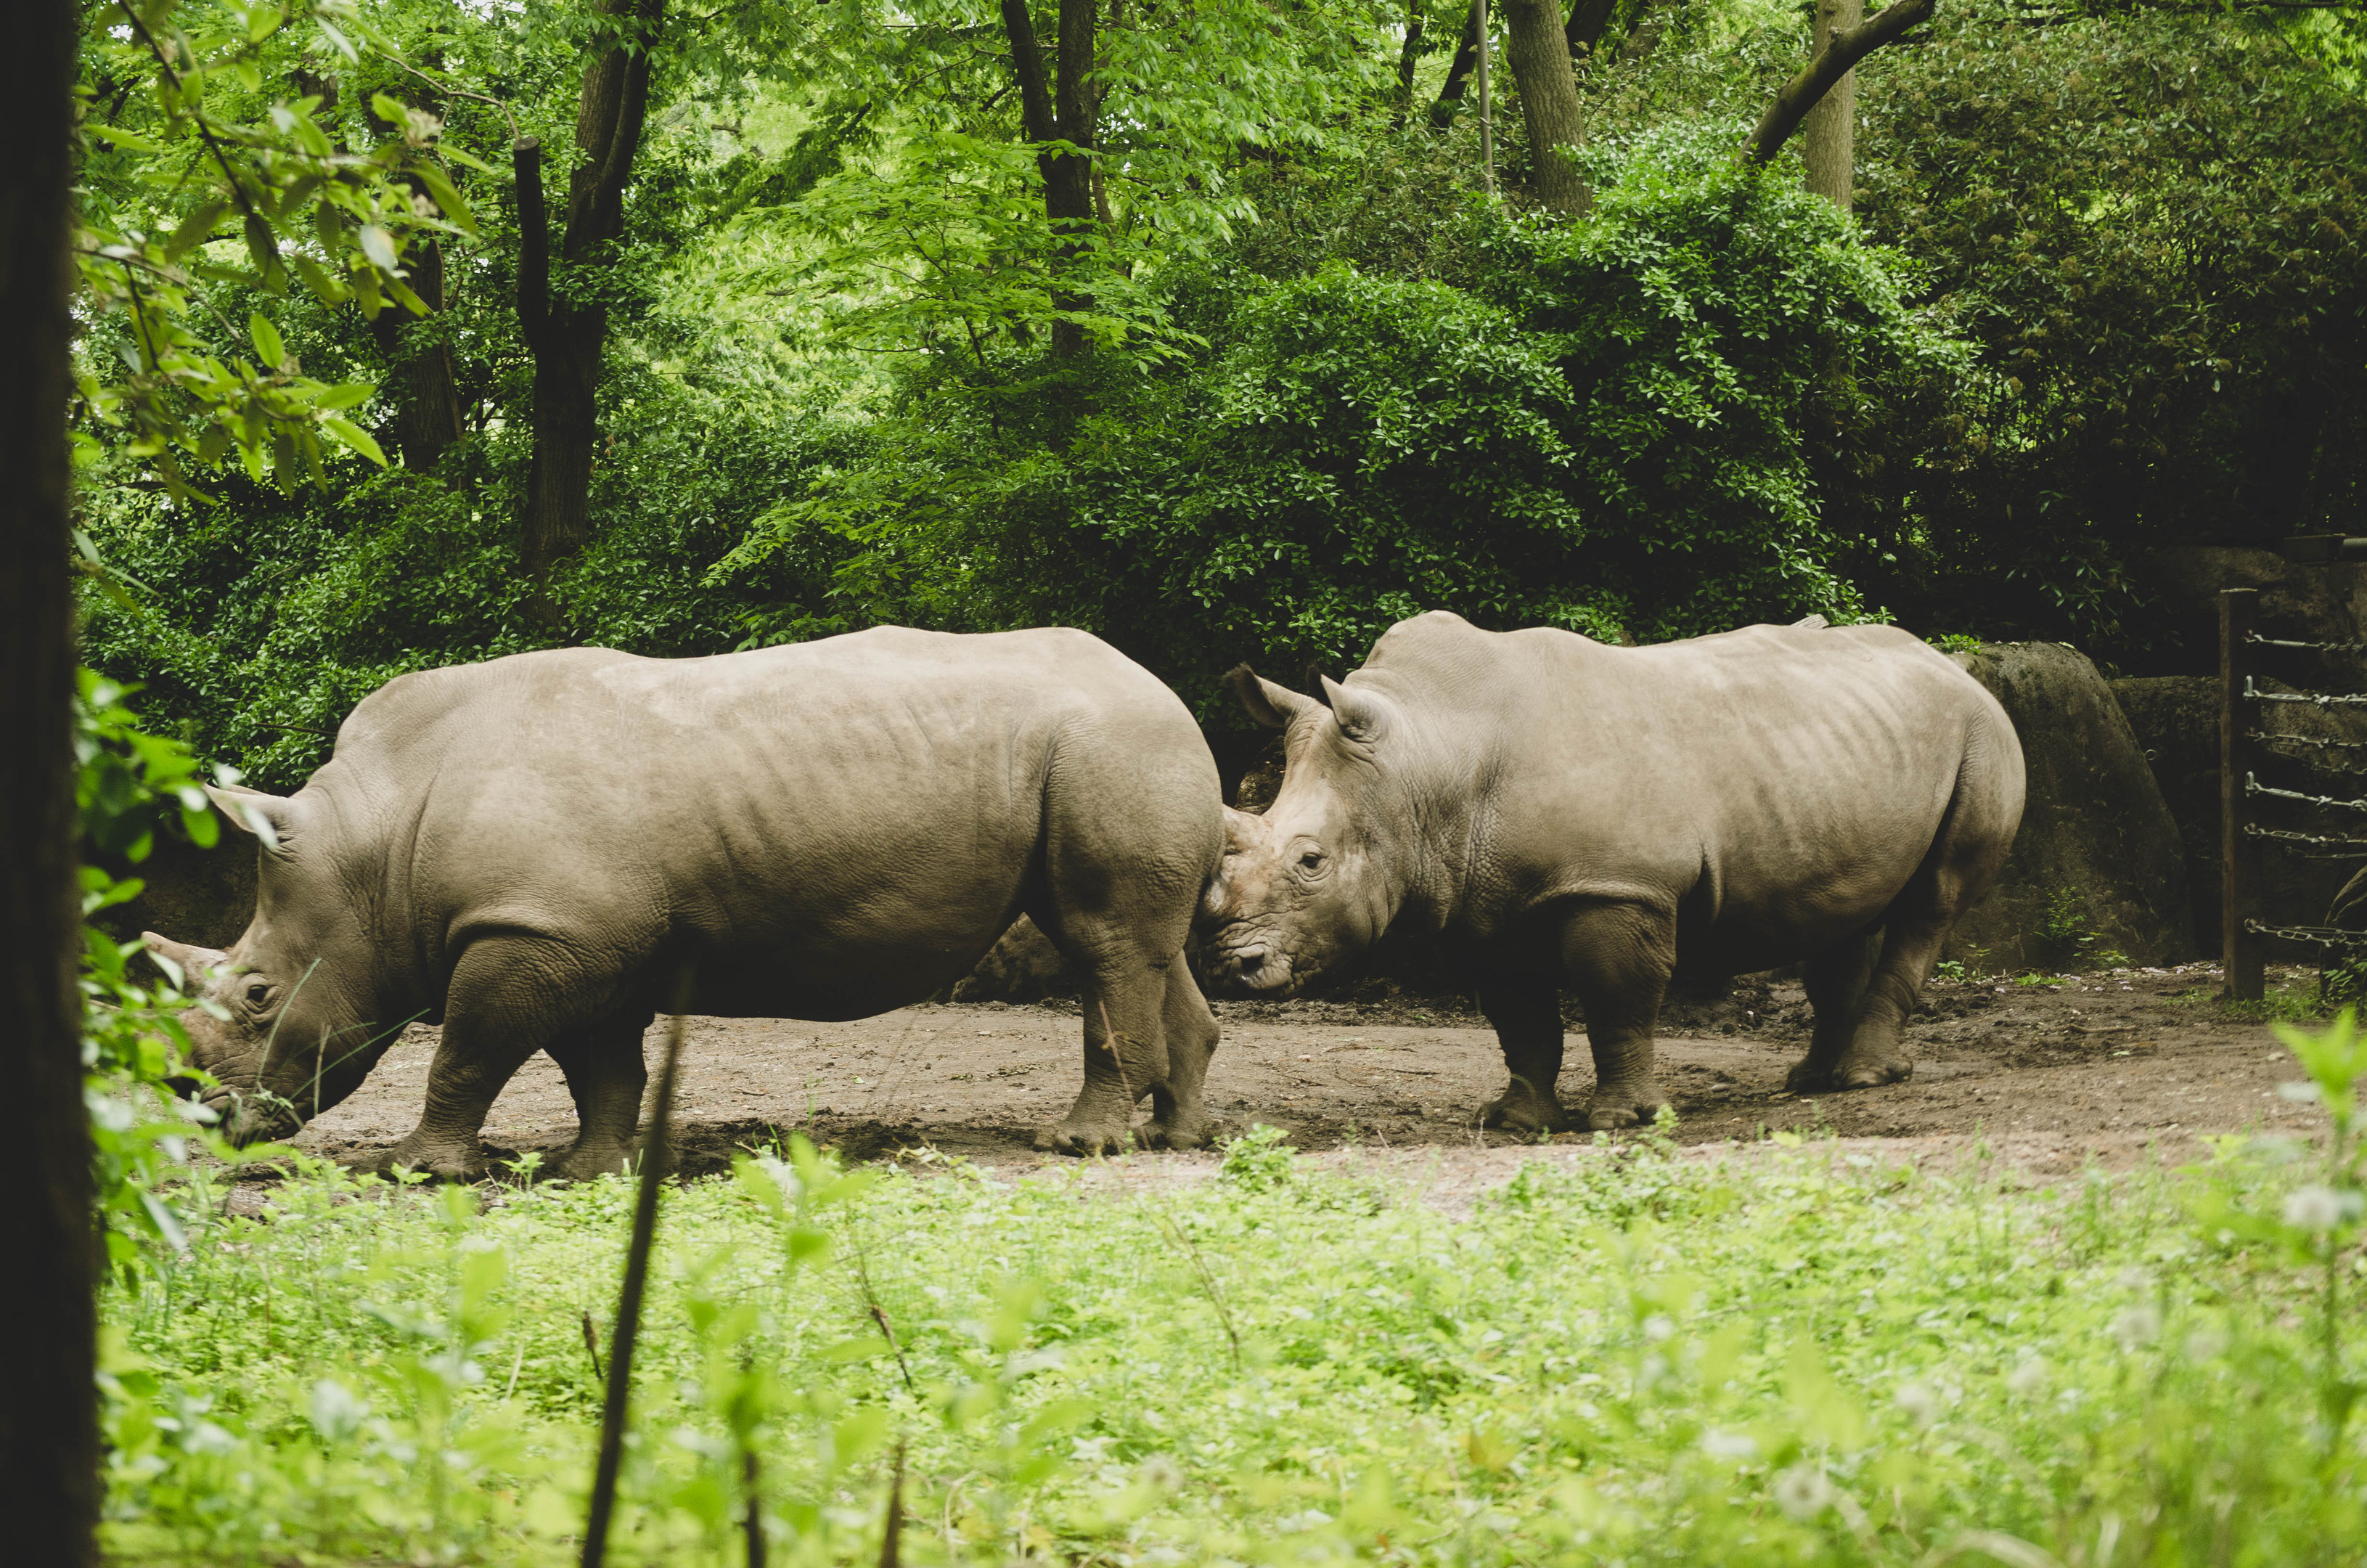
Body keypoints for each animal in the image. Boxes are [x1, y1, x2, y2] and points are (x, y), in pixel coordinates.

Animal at [143, 627, 1223, 1179]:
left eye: (256, 995)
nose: (216, 1124)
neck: (377, 853)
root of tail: (1164, 687)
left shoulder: (531, 928)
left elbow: (468, 1052)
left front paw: (420, 1168)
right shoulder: (583, 938)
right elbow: (601, 1066)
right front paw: (592, 1171)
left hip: (1110, 745)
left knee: (1101, 941)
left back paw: (1082, 1147)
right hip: (1111, 751)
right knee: (1133, 945)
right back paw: (1180, 1139)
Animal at [1199, 611, 2024, 1131]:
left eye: (1312, 862)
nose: (1233, 970)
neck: (1426, 760)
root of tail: (1948, 661)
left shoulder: (1620, 885)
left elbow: (1615, 998)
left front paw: (1622, 1121)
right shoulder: (1482, 904)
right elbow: (1519, 1016)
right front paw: (1514, 1122)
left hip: (1982, 731)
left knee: (1933, 902)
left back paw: (1865, 1077)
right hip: (1847, 755)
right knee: (1841, 910)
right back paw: (1811, 1081)